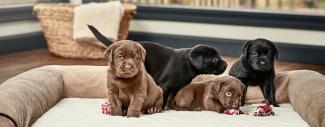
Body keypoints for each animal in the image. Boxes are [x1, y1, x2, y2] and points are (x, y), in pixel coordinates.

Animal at [87, 25, 227, 108]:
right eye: (215, 59)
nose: (226, 64)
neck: (188, 64)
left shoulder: (176, 87)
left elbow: (172, 98)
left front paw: (173, 107)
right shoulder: (164, 86)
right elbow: (163, 99)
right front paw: (159, 109)